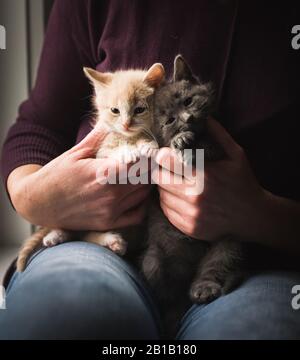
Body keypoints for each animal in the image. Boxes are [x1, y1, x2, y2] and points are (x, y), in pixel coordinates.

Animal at [142, 54, 243, 338]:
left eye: (188, 101)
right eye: (169, 121)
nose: (187, 119)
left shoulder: (220, 146)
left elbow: (209, 147)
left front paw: (189, 142)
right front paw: (181, 140)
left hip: (228, 242)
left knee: (216, 265)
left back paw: (204, 289)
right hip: (154, 260)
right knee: (165, 288)